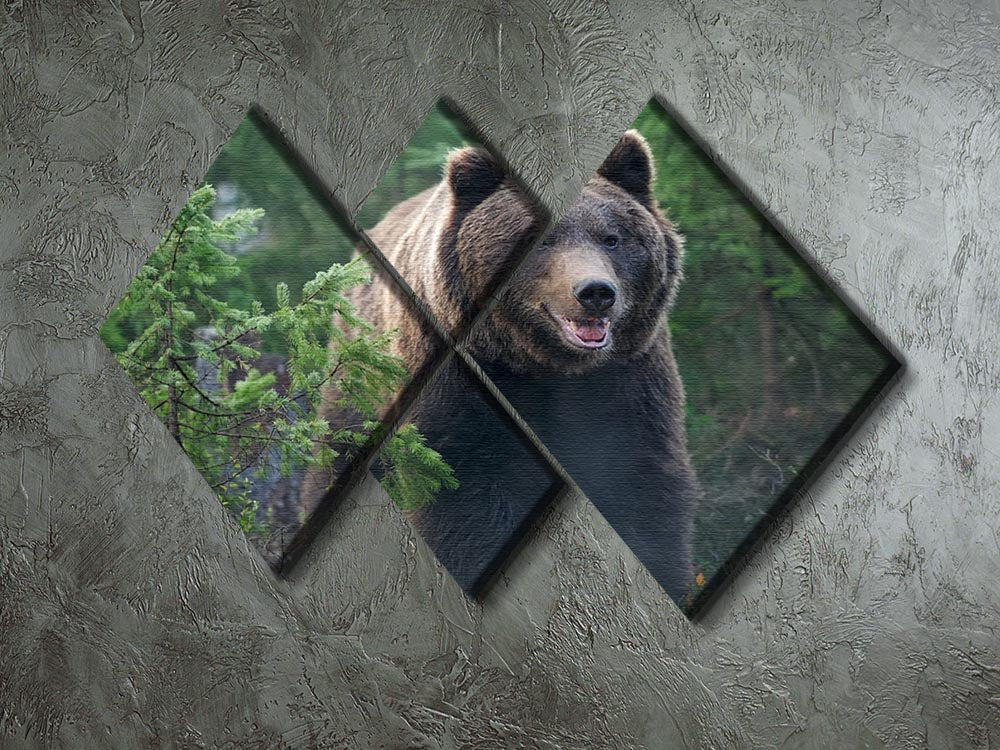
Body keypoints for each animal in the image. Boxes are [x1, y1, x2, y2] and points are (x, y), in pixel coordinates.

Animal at [324, 131, 699, 603]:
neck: (546, 366)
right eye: (543, 241)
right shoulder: (458, 387)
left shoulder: (628, 380)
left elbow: (641, 485)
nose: (596, 292)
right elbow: (461, 491)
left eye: (612, 238)